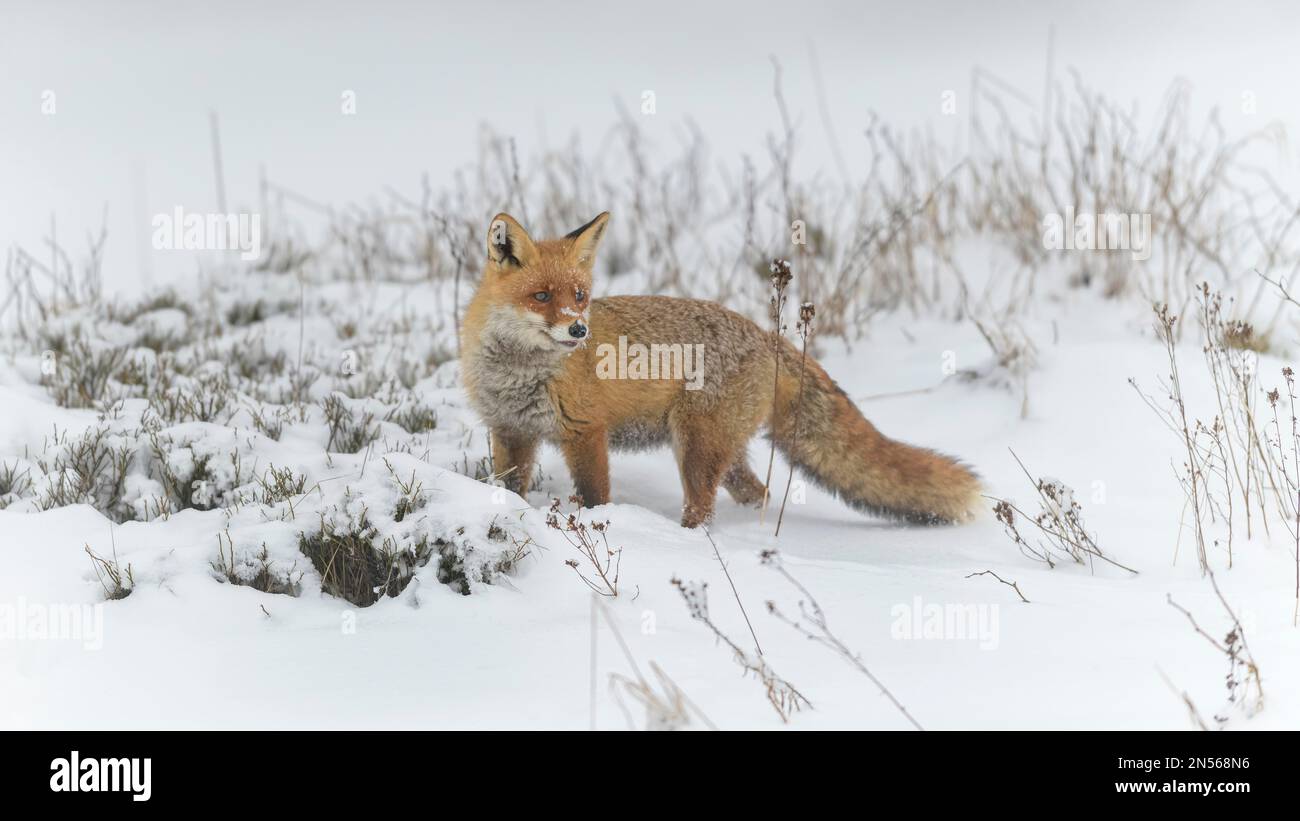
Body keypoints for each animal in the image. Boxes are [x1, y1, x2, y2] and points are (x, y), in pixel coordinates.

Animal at [460, 211, 981, 528]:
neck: (519, 375)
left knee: (703, 512)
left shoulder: (585, 432)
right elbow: (508, 490)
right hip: (722, 456)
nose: (579, 331)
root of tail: (767, 336)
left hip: (696, 448)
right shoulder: (510, 431)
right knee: (759, 493)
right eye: (542, 296)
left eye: (580, 295)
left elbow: (594, 499)